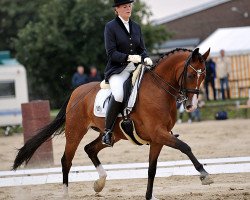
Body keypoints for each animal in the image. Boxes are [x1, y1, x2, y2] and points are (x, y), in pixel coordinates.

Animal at [13, 47, 213, 199]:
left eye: (203, 76)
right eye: (190, 75)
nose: (191, 105)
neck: (159, 90)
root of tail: (76, 92)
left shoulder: (158, 139)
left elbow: (152, 169)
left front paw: (149, 196)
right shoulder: (158, 133)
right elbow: (185, 146)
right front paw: (204, 175)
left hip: (111, 134)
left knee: (90, 149)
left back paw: (99, 183)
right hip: (75, 131)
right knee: (66, 160)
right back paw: (66, 195)